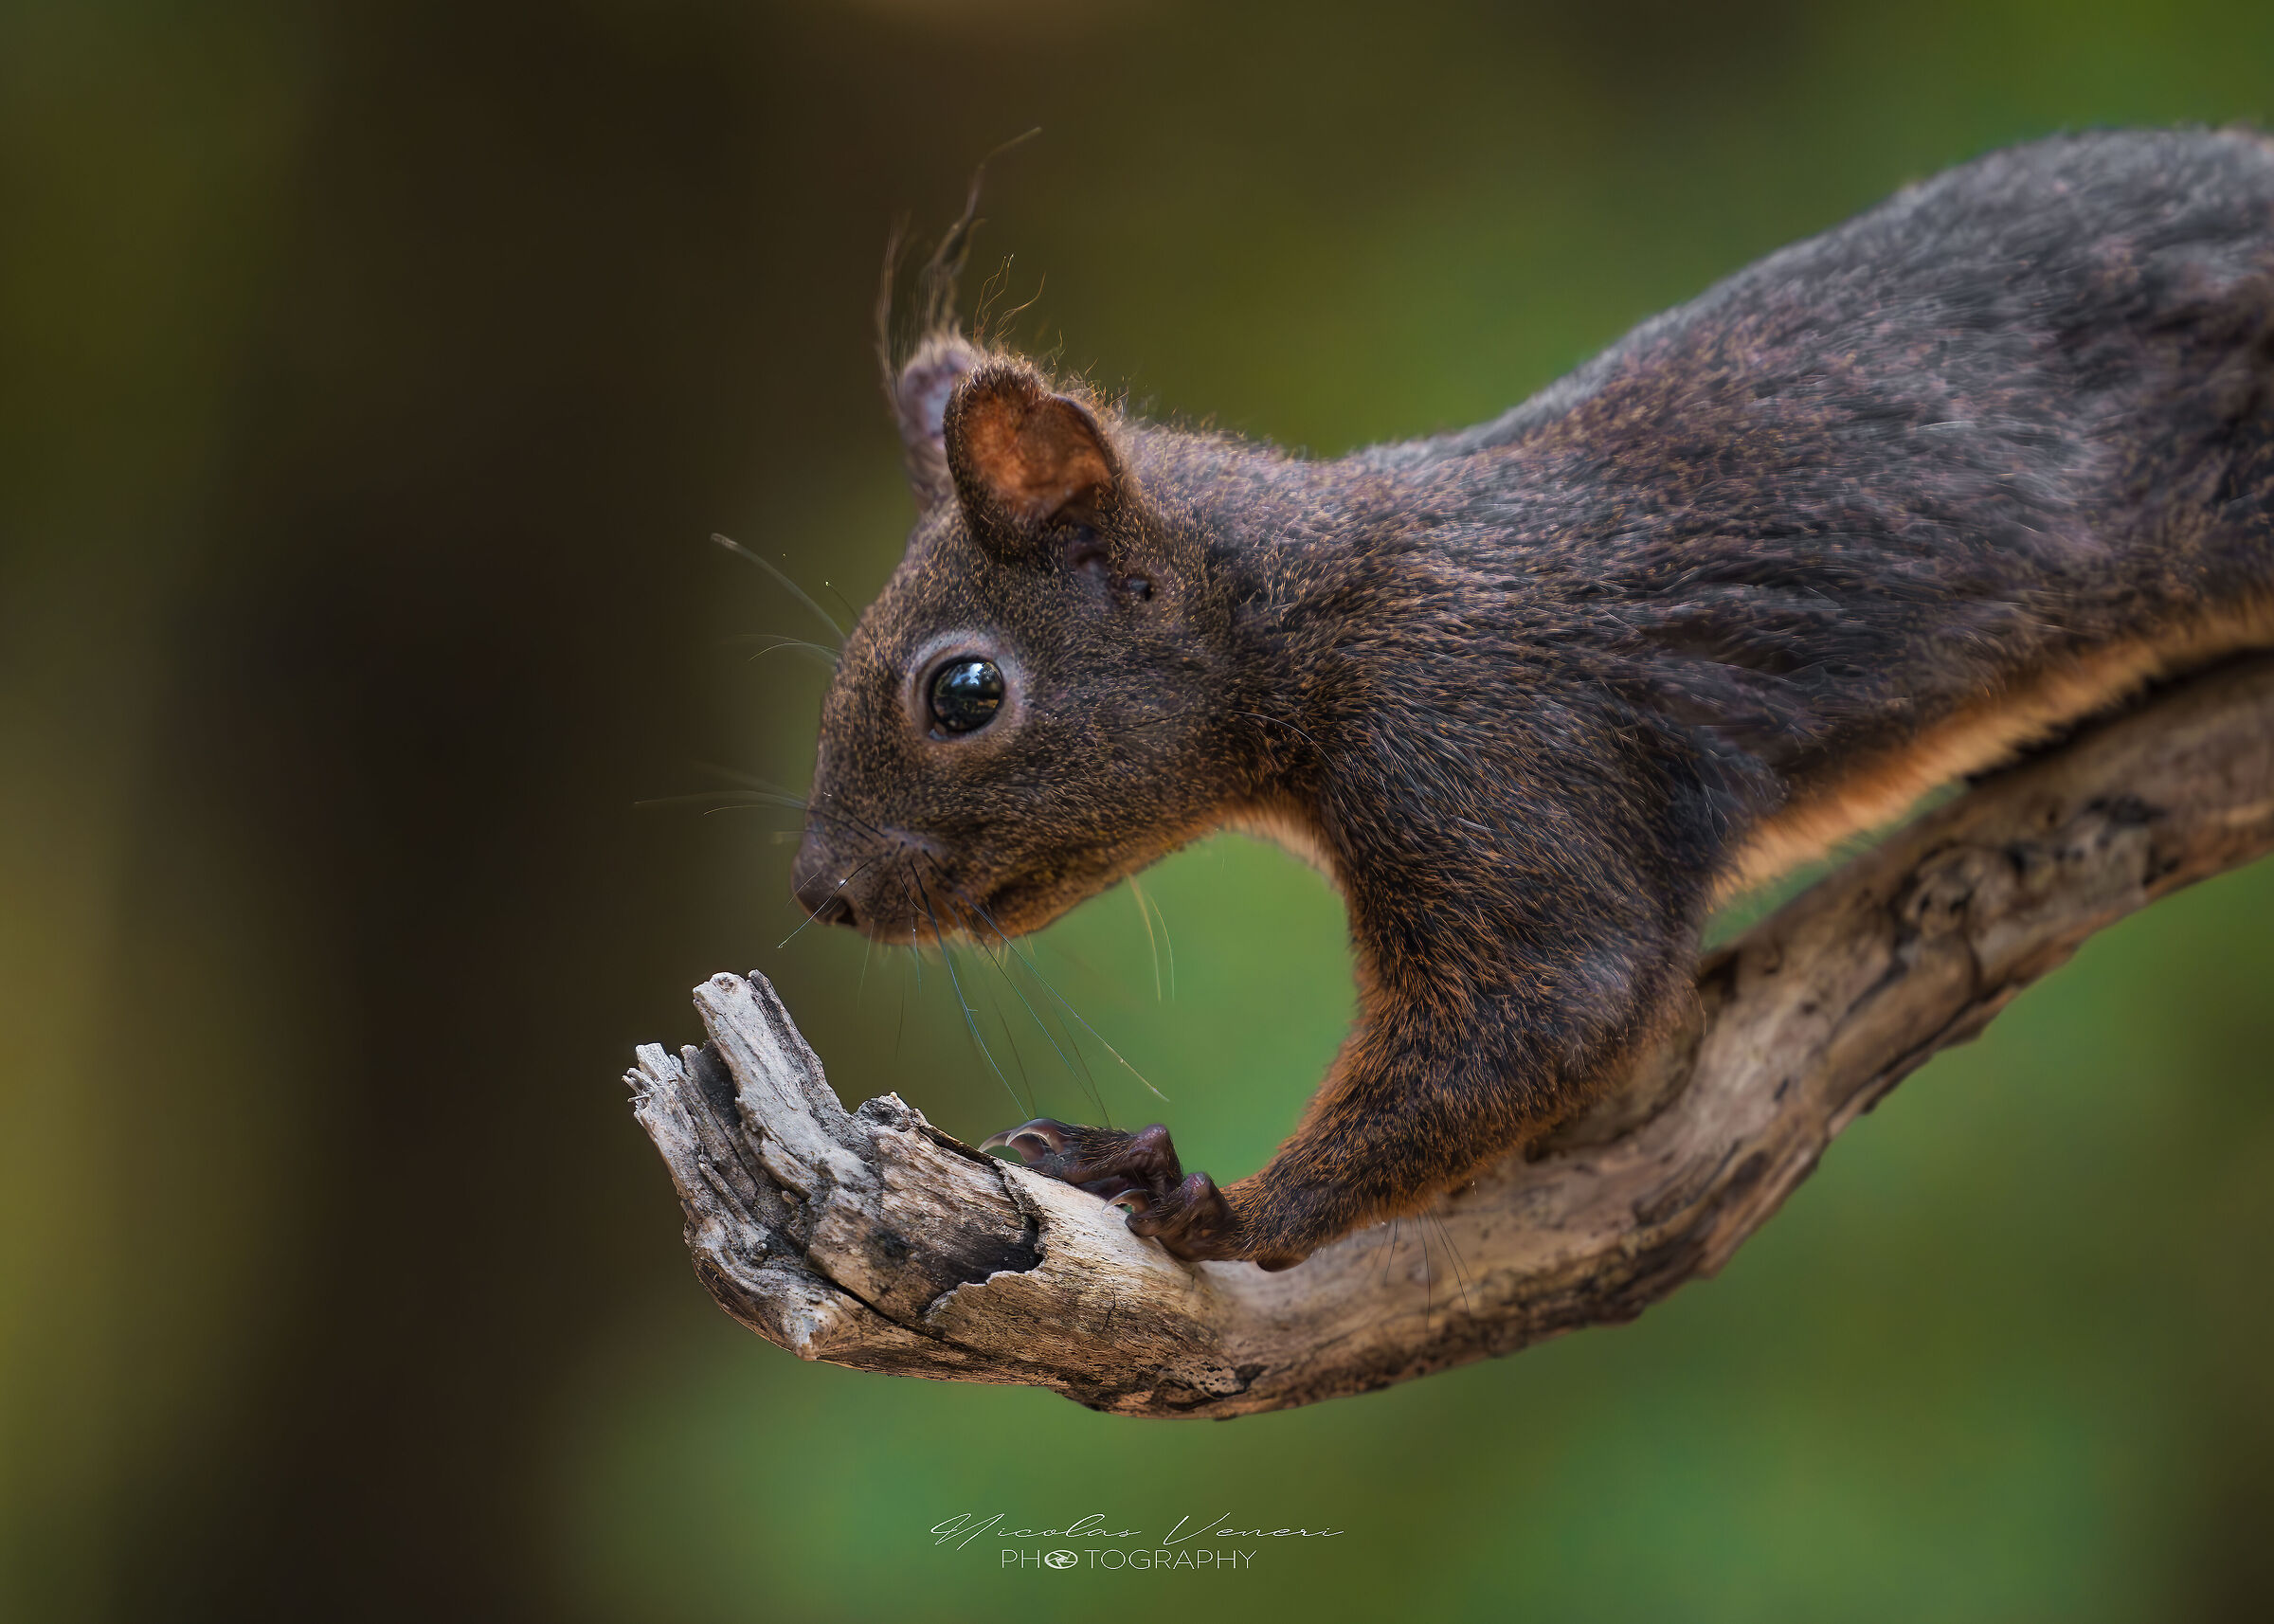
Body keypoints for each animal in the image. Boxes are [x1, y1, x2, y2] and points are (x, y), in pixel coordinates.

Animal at [788, 129, 2274, 1271]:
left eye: (964, 691)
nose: (820, 890)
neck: (1331, 614)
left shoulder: (1484, 748)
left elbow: (1553, 998)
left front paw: (1212, 1198)